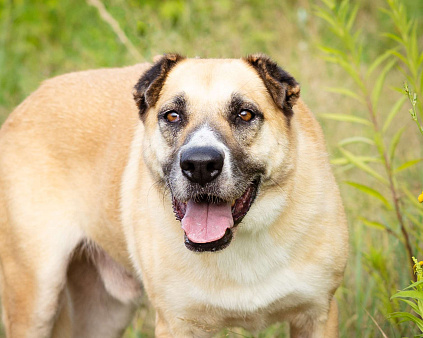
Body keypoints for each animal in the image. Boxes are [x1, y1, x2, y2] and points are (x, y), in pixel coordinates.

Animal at [0, 54, 350, 336]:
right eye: (172, 116)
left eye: (245, 114)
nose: (200, 165)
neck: (240, 241)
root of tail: (29, 101)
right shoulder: (177, 323)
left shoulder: (318, 314)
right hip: (37, 299)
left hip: (104, 312)